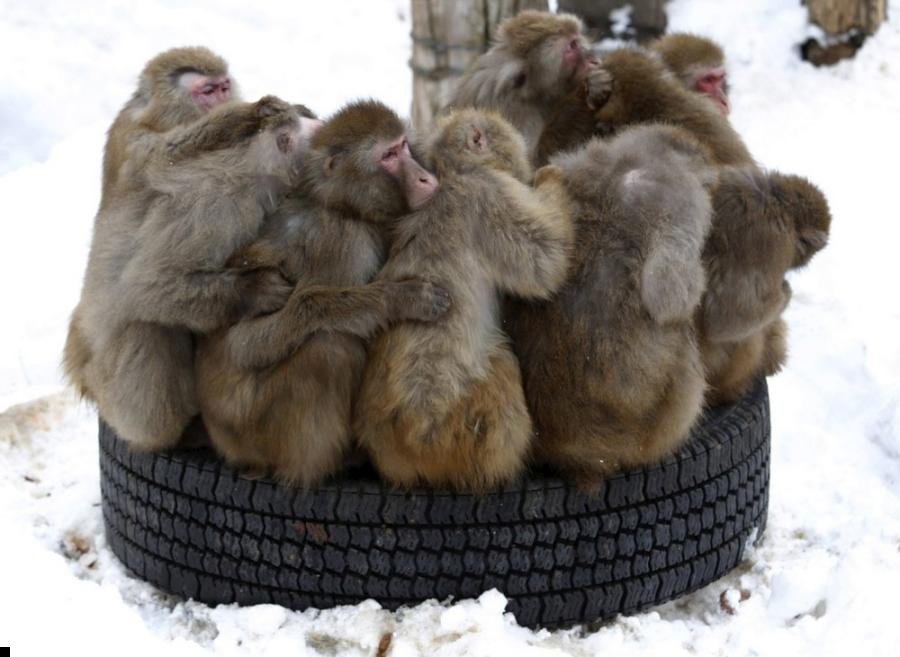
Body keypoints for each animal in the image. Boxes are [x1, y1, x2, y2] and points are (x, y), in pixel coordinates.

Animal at [65, 96, 318, 451]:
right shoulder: (219, 211)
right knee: (147, 330)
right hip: (111, 386)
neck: (258, 173)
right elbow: (148, 285)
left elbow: (165, 155)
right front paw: (255, 289)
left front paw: (262, 109)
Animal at [194, 100, 453, 488]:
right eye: (388, 155)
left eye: (404, 146)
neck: (341, 204)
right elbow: (247, 344)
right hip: (254, 433)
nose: (424, 178)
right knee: (329, 348)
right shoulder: (341, 242)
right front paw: (400, 298)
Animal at [353, 108, 574, 492]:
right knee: (500, 366)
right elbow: (544, 262)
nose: (525, 169)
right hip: (460, 425)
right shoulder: (487, 193)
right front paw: (551, 177)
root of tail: (406, 445)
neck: (451, 172)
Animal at [446, 10, 613, 162]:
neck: (533, 93)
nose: (594, 61)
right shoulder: (510, 109)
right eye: (572, 46)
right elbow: (531, 165)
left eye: (577, 40)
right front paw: (587, 90)